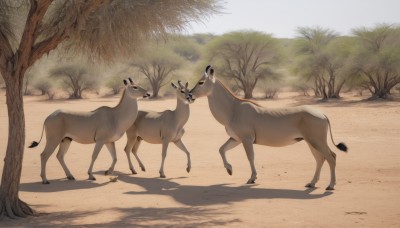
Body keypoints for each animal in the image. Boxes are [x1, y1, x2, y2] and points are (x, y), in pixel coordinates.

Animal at [188, 65, 346, 190]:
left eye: (201, 82)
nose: (189, 95)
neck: (233, 108)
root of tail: (322, 114)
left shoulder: (246, 139)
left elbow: (250, 157)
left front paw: (252, 178)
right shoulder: (235, 139)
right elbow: (221, 149)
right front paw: (229, 169)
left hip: (317, 141)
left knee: (331, 157)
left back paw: (330, 185)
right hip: (310, 142)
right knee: (320, 159)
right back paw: (312, 183)